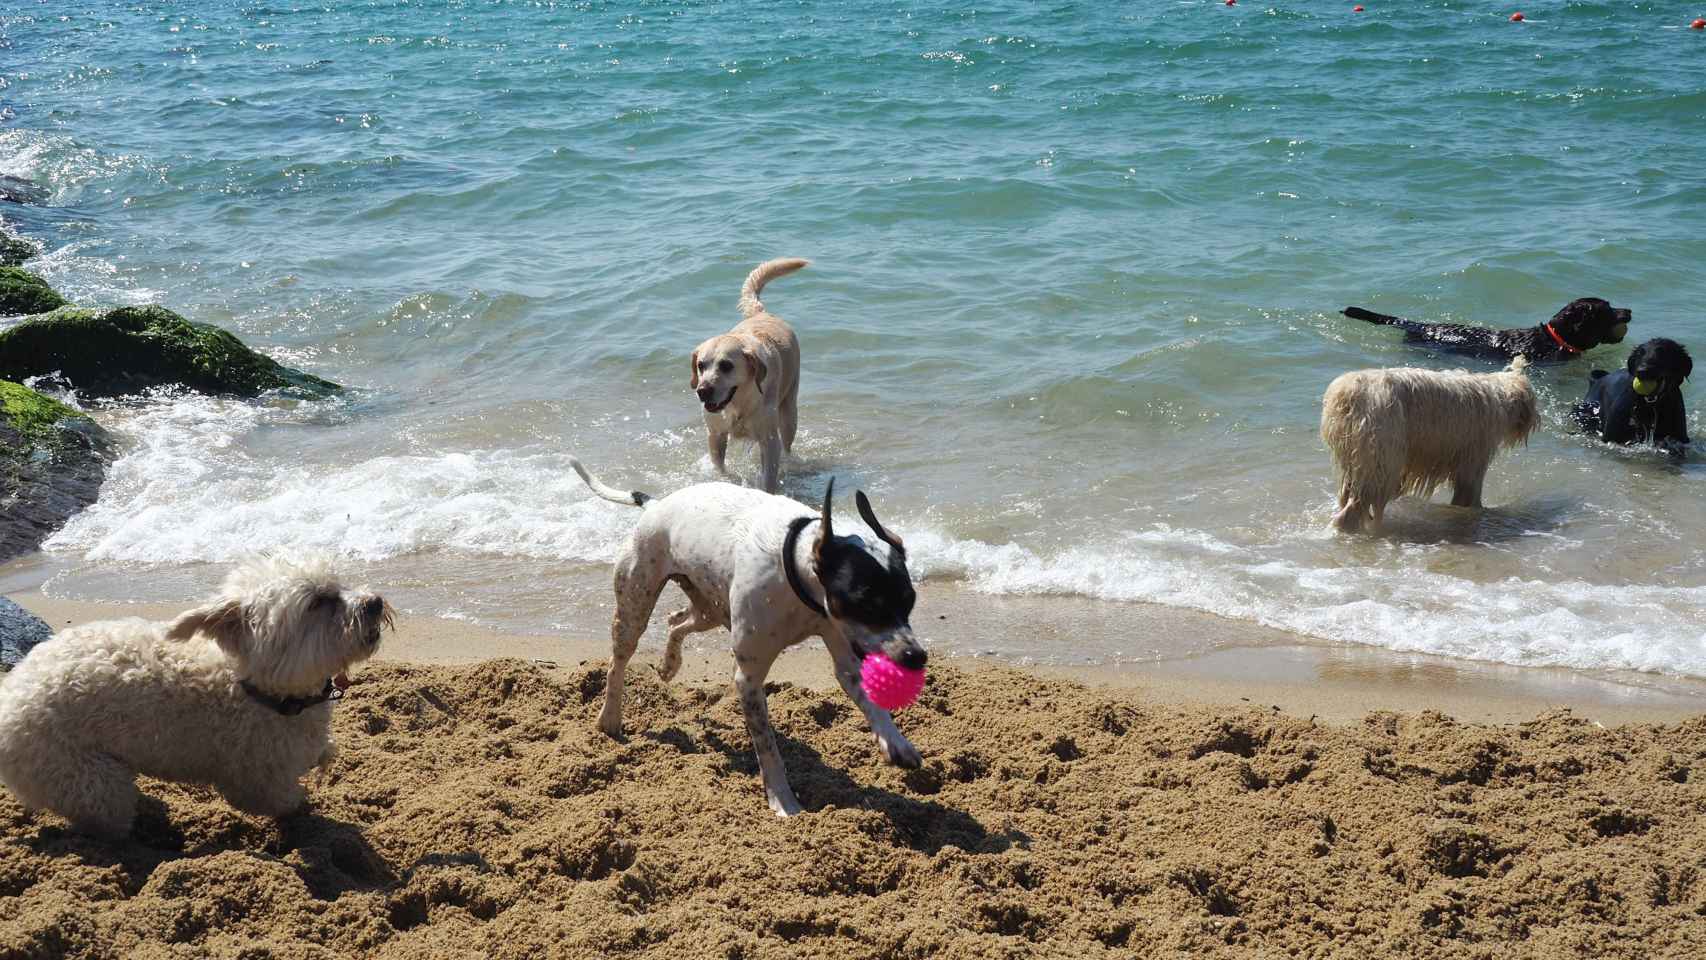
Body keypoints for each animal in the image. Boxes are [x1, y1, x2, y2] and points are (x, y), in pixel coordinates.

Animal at [0, 552, 390, 838]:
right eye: (319, 602)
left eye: (339, 586)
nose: (375, 602)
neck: (253, 686)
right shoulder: (257, 780)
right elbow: (284, 802)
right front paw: (307, 810)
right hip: (85, 778)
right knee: (106, 818)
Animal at [566, 460, 928, 818]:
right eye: (866, 603)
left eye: (910, 600)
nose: (916, 656)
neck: (795, 566)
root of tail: (655, 505)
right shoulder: (749, 679)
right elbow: (767, 747)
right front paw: (783, 801)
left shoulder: (844, 651)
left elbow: (869, 700)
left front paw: (896, 743)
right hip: (635, 605)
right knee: (618, 662)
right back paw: (610, 717)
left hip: (710, 608)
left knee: (676, 622)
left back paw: (670, 665)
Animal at [1317, 358, 1535, 532]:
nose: (1537, 421)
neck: (1499, 394)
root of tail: (1347, 394)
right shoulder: (1474, 456)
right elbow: (1469, 492)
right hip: (1379, 453)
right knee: (1360, 500)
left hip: (1356, 454)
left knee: (1349, 493)